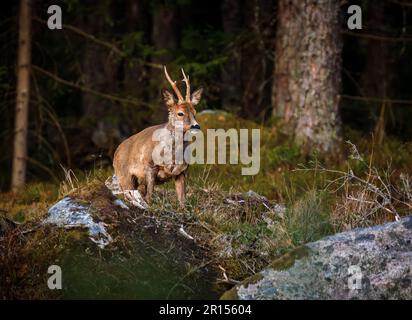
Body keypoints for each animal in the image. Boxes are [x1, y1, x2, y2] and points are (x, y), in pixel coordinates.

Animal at [112, 67, 203, 208]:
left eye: (195, 112)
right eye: (180, 113)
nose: (196, 126)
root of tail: (116, 151)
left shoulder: (182, 172)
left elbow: (183, 202)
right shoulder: (150, 166)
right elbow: (149, 197)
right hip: (124, 175)